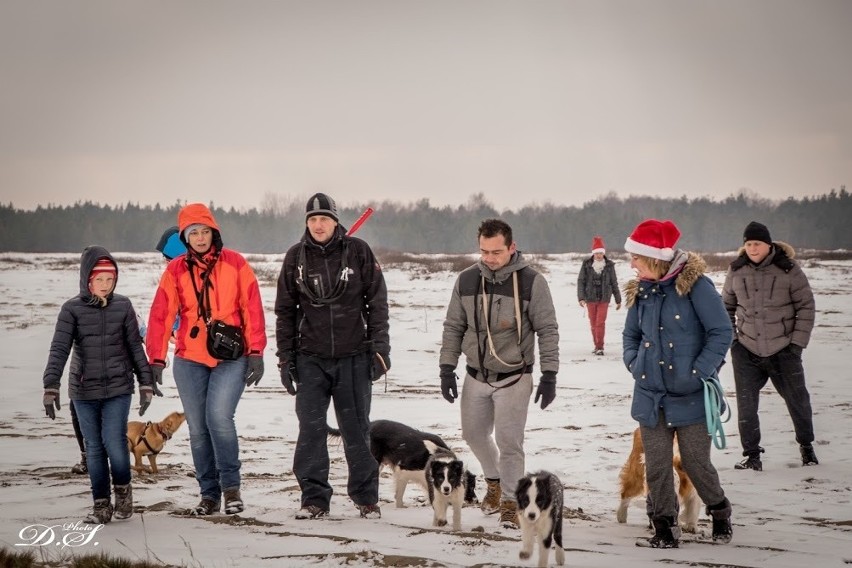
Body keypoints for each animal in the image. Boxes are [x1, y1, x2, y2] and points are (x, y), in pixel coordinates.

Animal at [326, 420, 476, 508]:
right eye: (469, 487)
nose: (475, 500)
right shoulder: (403, 471)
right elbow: (399, 494)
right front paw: (400, 507)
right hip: (375, 461)